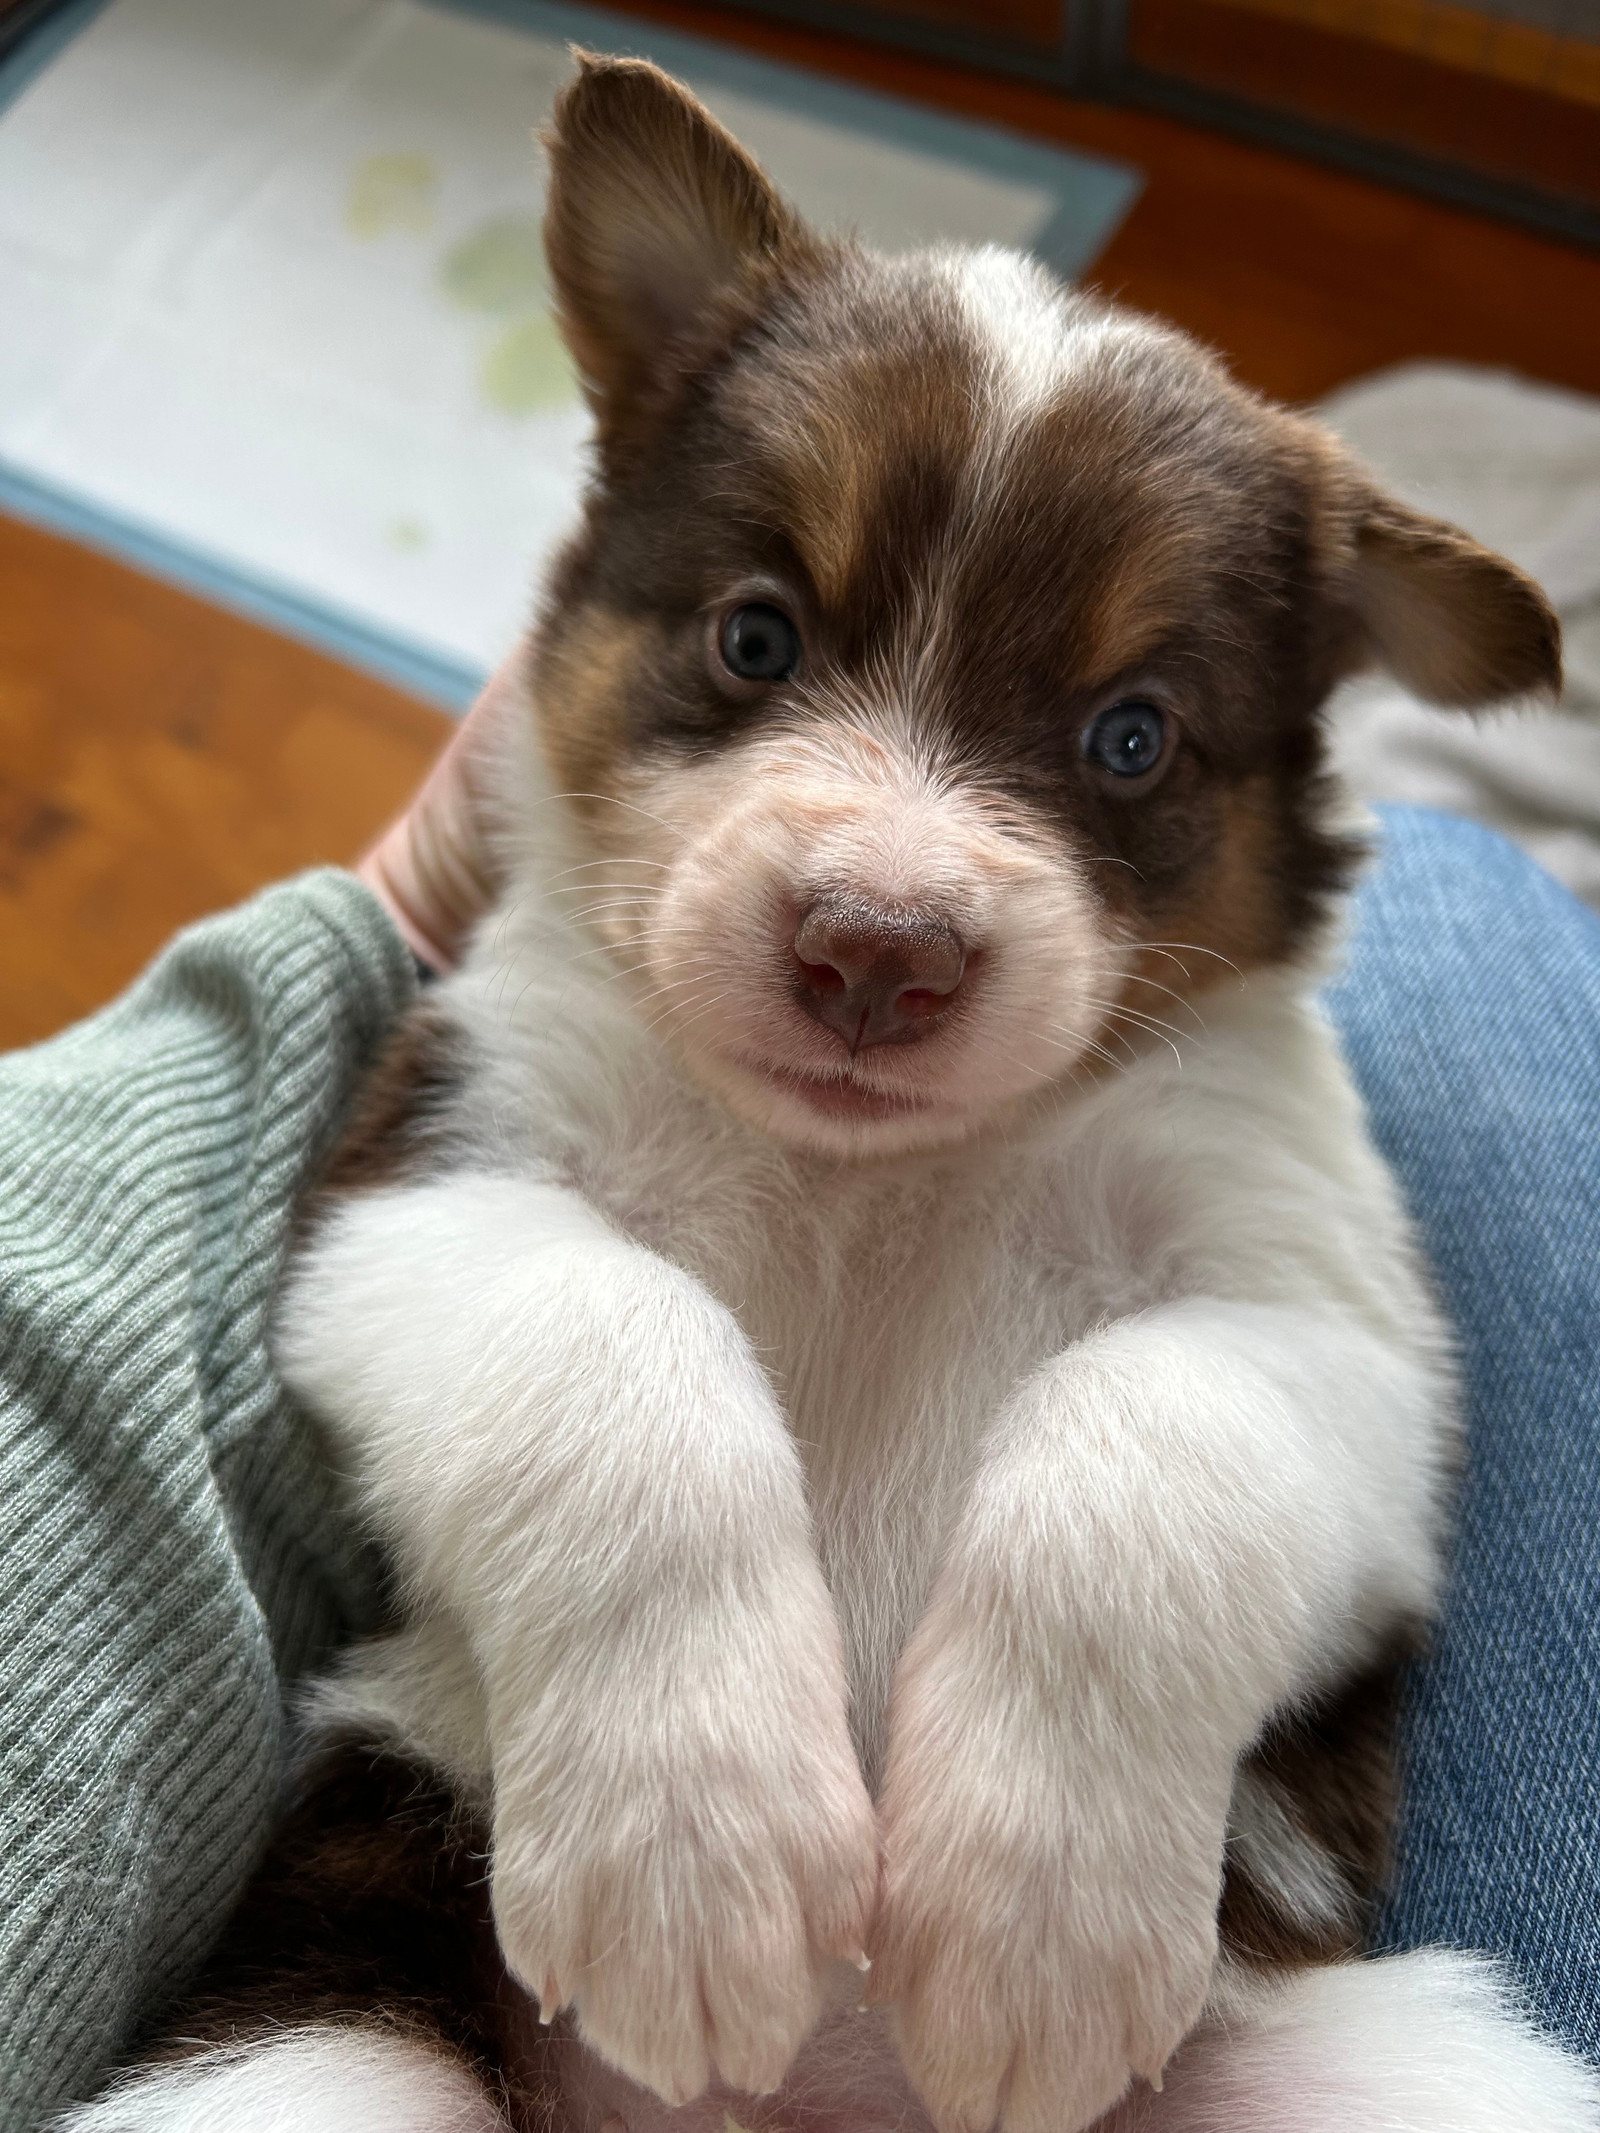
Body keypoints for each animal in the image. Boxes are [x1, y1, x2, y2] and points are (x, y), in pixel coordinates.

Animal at [68, 45, 1600, 2133]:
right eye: (755, 635)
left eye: (1133, 737)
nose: (879, 948)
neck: (873, 1170)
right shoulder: (429, 1175)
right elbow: (607, 1346)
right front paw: (689, 1850)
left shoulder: (1339, 1327)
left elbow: (1149, 1434)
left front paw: (1033, 1916)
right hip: (319, 2027)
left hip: (1418, 2060)